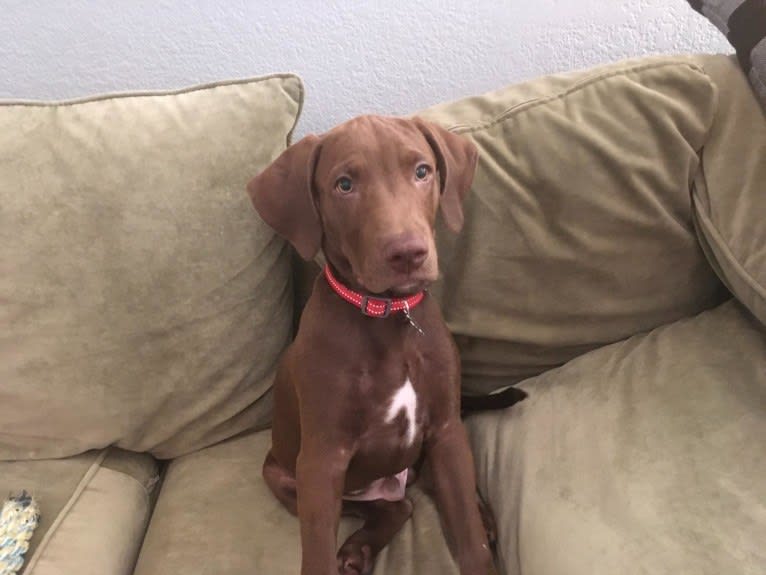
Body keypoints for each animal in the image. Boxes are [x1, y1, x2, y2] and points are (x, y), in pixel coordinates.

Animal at [249, 115, 504, 572]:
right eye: (344, 185)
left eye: (422, 171)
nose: (408, 253)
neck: (388, 316)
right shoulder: (322, 461)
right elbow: (317, 553)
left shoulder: (445, 428)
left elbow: (471, 540)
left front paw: (478, 535)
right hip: (283, 477)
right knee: (397, 507)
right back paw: (358, 549)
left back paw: (482, 516)